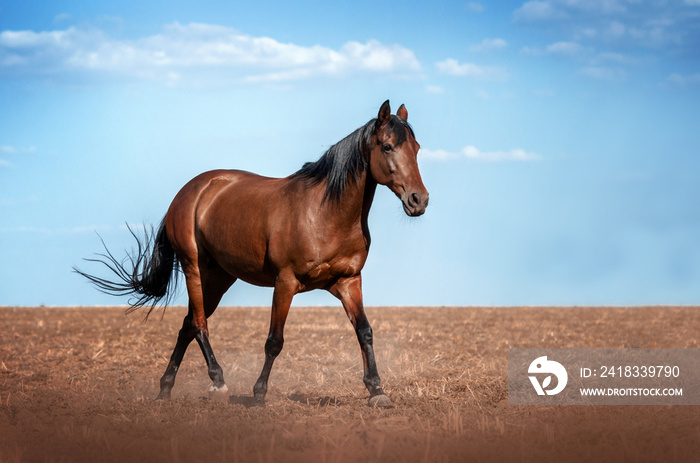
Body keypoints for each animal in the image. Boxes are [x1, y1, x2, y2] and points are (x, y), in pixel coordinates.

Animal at [75, 99, 426, 408]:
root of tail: (188, 193)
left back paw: (165, 389)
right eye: (387, 147)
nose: (418, 200)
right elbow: (274, 341)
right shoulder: (285, 283)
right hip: (195, 269)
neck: (325, 214)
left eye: (417, 148)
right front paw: (258, 395)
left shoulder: (349, 281)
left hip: (220, 277)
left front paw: (377, 391)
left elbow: (365, 332)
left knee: (188, 324)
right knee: (199, 324)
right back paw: (218, 384)